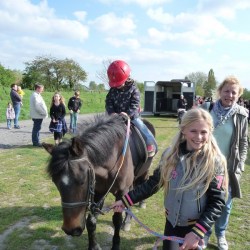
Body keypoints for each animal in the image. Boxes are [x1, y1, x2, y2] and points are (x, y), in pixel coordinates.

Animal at [43, 114, 156, 250]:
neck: (114, 158)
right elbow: (91, 221)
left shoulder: (121, 192)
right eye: (55, 182)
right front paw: (93, 246)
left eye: (82, 180)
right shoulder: (98, 191)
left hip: (143, 173)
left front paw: (115, 245)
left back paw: (135, 211)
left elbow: (117, 219)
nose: (71, 229)